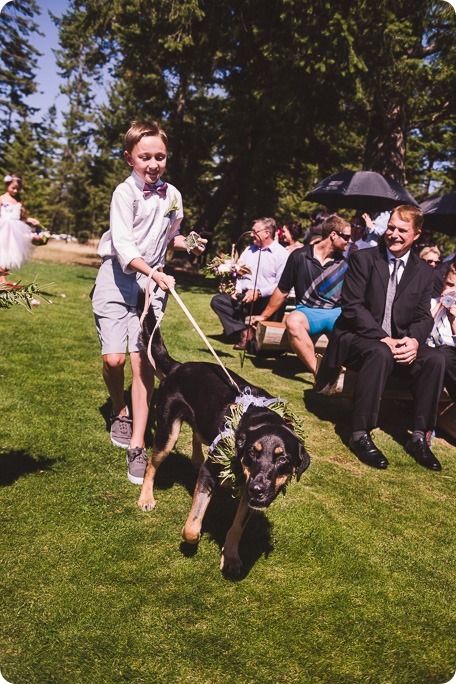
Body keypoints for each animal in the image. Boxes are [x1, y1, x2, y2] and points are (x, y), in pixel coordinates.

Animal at [138, 302, 310, 576]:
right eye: (252, 453)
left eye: (283, 458)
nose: (258, 489)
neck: (261, 419)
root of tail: (178, 367)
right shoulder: (210, 474)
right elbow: (193, 526)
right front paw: (194, 538)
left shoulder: (249, 492)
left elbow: (237, 526)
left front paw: (230, 556)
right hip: (167, 433)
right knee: (152, 465)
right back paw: (146, 497)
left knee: (198, 434)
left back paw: (199, 459)